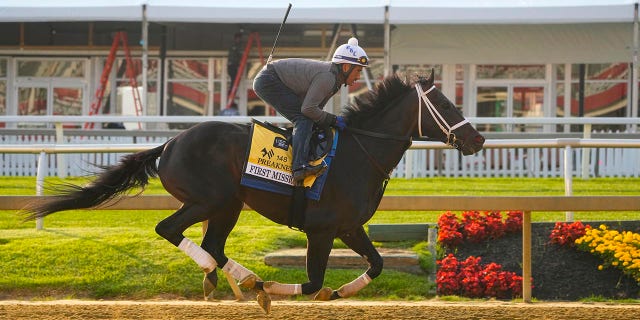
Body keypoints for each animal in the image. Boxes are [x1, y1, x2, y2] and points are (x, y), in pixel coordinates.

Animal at [21, 72, 484, 312]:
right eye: (445, 105)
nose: (478, 140)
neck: (358, 152)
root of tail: (169, 144)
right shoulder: (322, 230)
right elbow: (313, 281)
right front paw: (279, 290)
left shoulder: (349, 228)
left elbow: (377, 264)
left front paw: (342, 291)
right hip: (208, 199)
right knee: (171, 230)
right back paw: (239, 280)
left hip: (228, 206)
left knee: (214, 245)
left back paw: (235, 279)